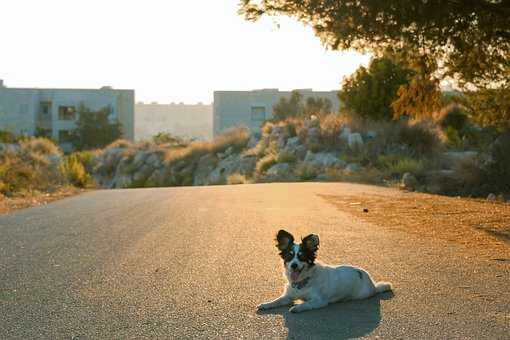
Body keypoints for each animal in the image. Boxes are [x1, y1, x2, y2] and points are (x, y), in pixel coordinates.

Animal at [256, 228, 392, 314]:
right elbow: (276, 301)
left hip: (362, 294)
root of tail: (372, 283)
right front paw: (265, 304)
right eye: (289, 257)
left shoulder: (319, 301)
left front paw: (297, 307)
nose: (294, 265)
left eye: (302, 257)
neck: (302, 282)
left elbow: (306, 304)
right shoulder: (287, 297)